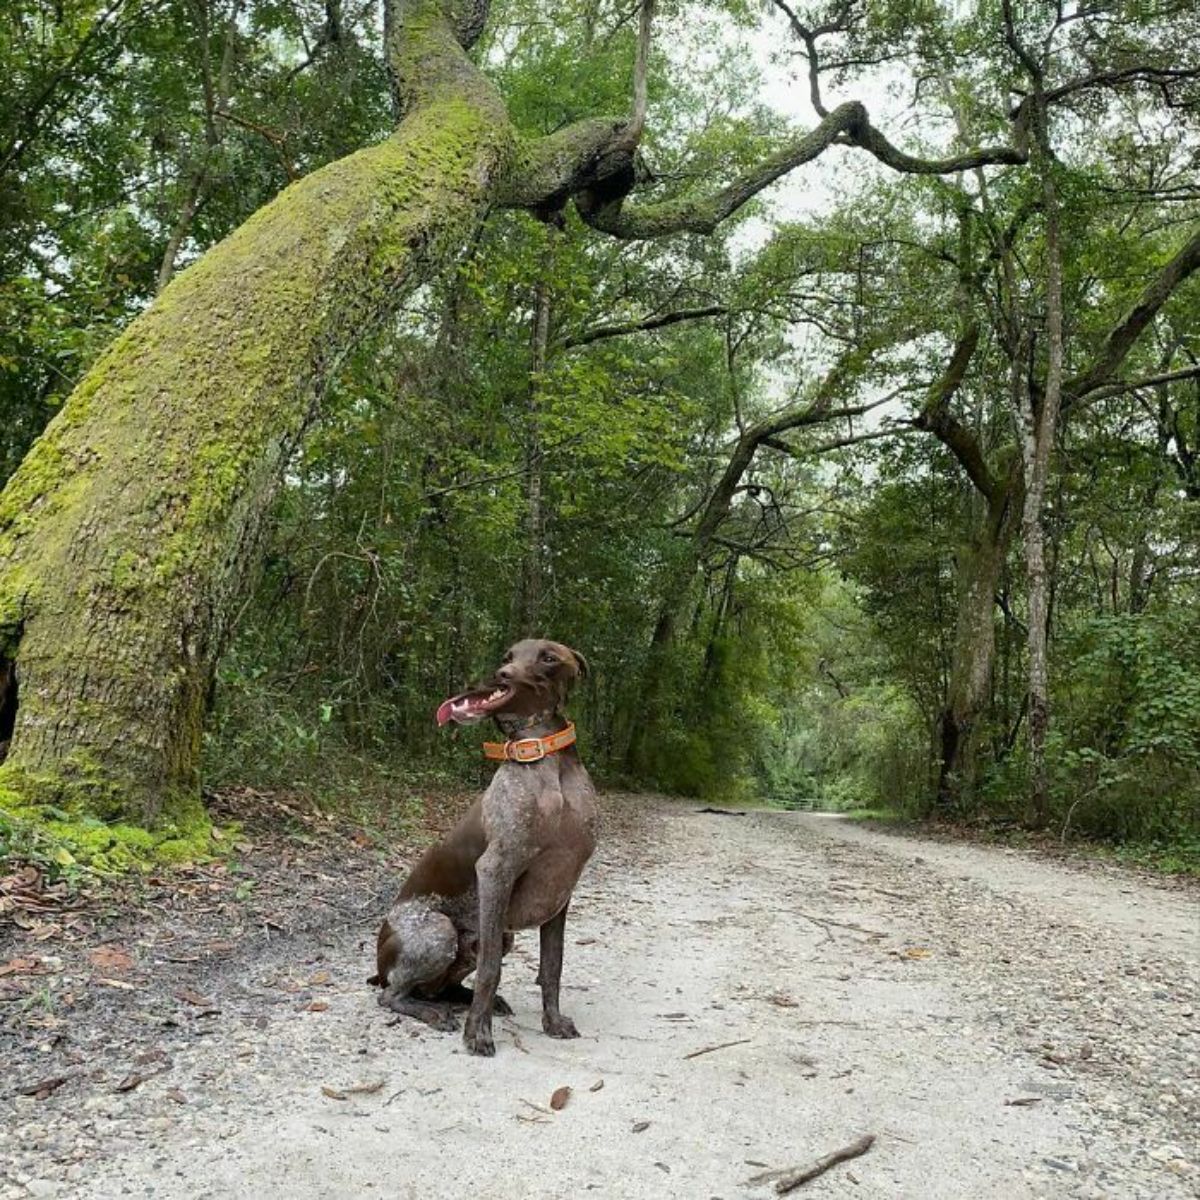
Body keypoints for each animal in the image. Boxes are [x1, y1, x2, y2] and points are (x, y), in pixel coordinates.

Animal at [372, 638, 597, 1051]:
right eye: (508, 657)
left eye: (549, 657)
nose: (501, 675)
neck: (544, 759)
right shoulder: (496, 871)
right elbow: (491, 968)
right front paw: (477, 1031)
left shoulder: (561, 890)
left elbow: (552, 966)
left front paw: (553, 1021)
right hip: (437, 932)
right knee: (392, 994)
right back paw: (434, 1013)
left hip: (496, 937)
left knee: (440, 987)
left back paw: (462, 1001)